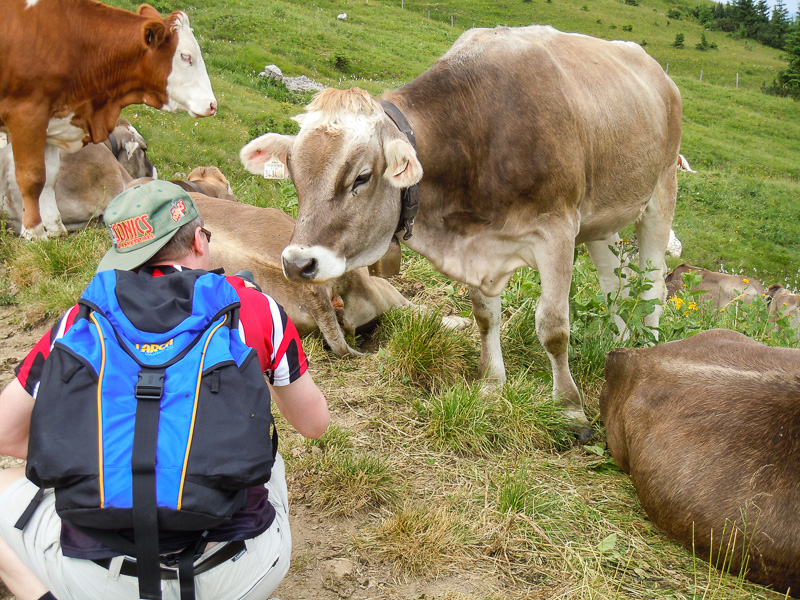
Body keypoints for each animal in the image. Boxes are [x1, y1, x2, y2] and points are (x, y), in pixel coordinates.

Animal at [0, 0, 217, 239]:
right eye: (186, 56)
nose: (213, 104)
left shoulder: (52, 122)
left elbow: (49, 177)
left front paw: (55, 230)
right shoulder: (27, 116)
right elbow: (32, 178)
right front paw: (35, 234)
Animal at [238, 25, 680, 434]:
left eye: (361, 177)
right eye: (294, 175)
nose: (298, 264)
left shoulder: (556, 230)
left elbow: (553, 326)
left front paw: (569, 409)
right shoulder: (475, 244)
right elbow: (485, 316)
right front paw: (491, 384)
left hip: (661, 189)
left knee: (654, 282)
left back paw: (648, 345)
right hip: (600, 220)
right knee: (613, 283)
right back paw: (620, 341)